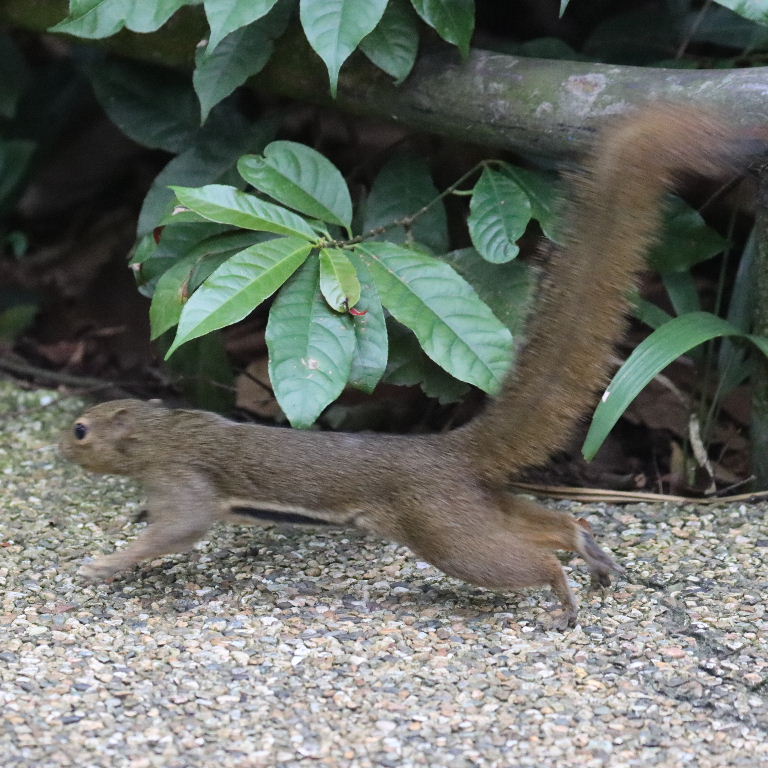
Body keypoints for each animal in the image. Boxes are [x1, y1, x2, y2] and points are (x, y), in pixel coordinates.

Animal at [60, 105, 759, 628]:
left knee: (534, 559)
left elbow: (179, 529)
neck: (164, 433)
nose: (60, 447)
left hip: (447, 534)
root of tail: (449, 453)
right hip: (478, 509)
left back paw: (563, 595)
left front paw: (103, 565)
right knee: (560, 521)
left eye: (80, 430)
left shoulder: (186, 484)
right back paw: (594, 561)